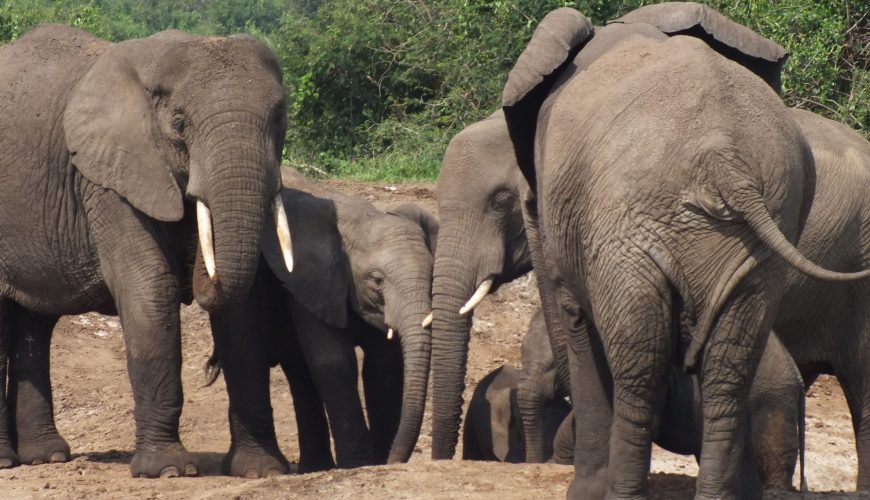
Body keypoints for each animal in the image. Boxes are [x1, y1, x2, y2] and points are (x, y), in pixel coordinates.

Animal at [0, 26, 294, 476]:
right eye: (179, 124)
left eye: (279, 118)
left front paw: (261, 469)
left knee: (37, 321)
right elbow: (150, 287)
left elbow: (247, 308)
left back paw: (46, 456)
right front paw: (168, 470)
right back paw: (7, 461)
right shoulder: (108, 179)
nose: (209, 369)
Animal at [201, 168, 440, 476]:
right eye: (377, 281)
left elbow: (383, 366)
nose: (395, 460)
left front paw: (379, 460)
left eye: (432, 274)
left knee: (300, 373)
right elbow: (335, 362)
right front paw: (360, 464)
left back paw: (315, 467)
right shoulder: (312, 282)